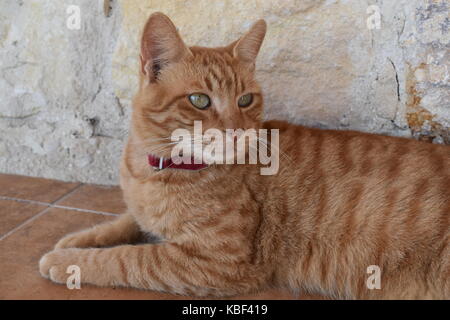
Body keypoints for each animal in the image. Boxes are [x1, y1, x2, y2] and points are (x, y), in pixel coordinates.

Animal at [39, 12, 450, 300]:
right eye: (199, 100)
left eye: (246, 99)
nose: (236, 129)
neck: (156, 169)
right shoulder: (145, 215)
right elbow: (123, 222)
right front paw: (77, 239)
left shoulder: (218, 263)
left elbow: (127, 258)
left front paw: (67, 262)